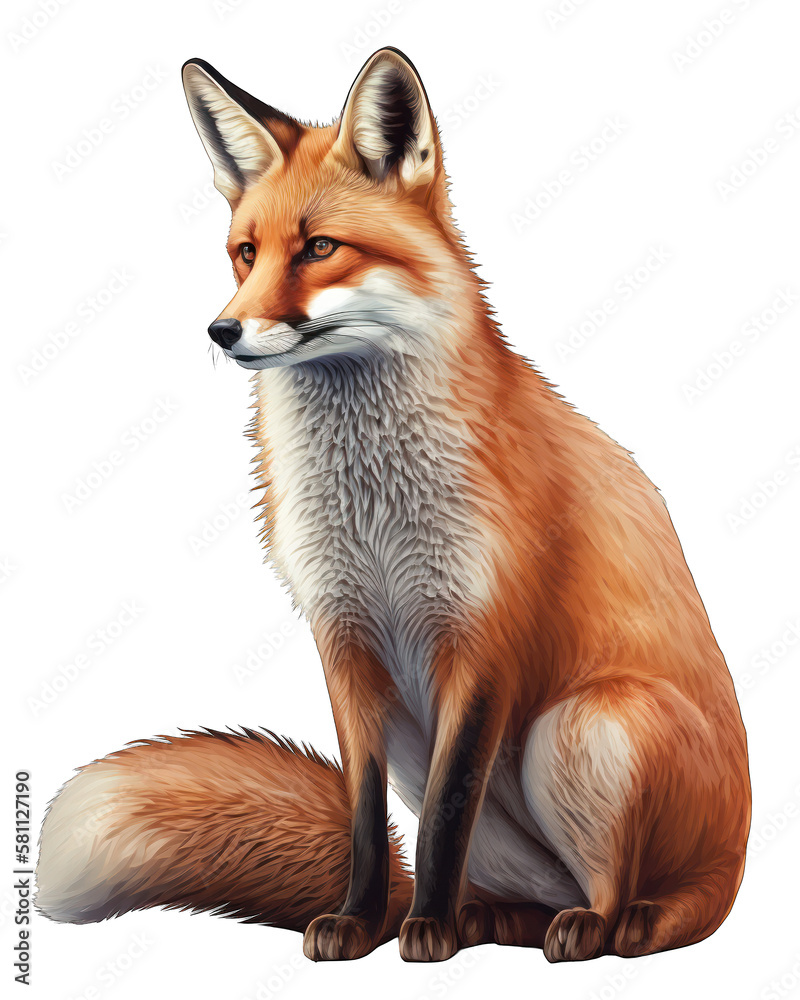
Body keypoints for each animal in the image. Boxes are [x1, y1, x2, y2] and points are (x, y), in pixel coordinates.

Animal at [37, 48, 750, 964]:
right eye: (245, 253)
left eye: (319, 248)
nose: (221, 332)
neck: (374, 510)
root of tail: (734, 858)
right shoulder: (344, 638)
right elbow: (366, 818)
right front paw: (362, 922)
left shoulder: (482, 643)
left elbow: (445, 815)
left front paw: (427, 932)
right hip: (457, 755)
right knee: (519, 892)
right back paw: (489, 918)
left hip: (585, 728)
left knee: (648, 903)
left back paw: (599, 923)